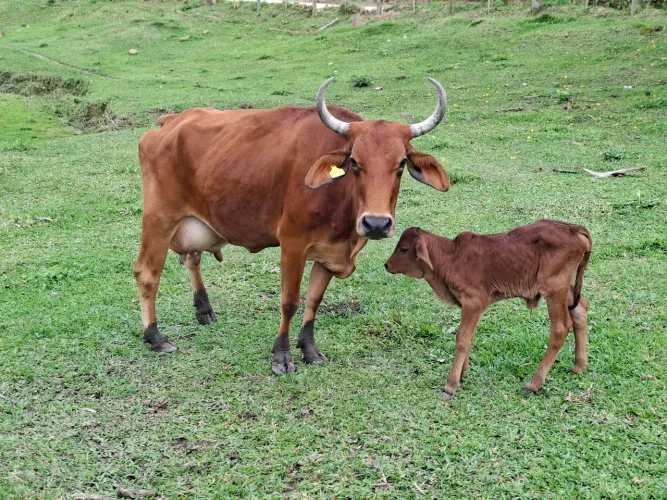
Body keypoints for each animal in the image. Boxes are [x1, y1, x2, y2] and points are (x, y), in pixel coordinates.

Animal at [134, 77, 450, 375]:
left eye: (401, 163)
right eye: (354, 162)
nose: (376, 223)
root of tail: (170, 121)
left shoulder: (330, 252)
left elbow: (314, 301)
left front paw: (309, 349)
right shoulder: (292, 244)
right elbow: (290, 302)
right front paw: (282, 356)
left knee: (191, 258)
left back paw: (204, 310)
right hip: (158, 219)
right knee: (147, 273)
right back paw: (154, 336)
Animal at [384, 220, 592, 397]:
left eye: (403, 249)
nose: (386, 265)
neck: (451, 257)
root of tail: (574, 228)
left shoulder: (473, 303)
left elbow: (462, 339)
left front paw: (451, 384)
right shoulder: (472, 308)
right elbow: (469, 337)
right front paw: (462, 372)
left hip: (554, 289)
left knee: (561, 328)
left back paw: (534, 383)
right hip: (566, 289)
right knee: (580, 311)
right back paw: (579, 366)